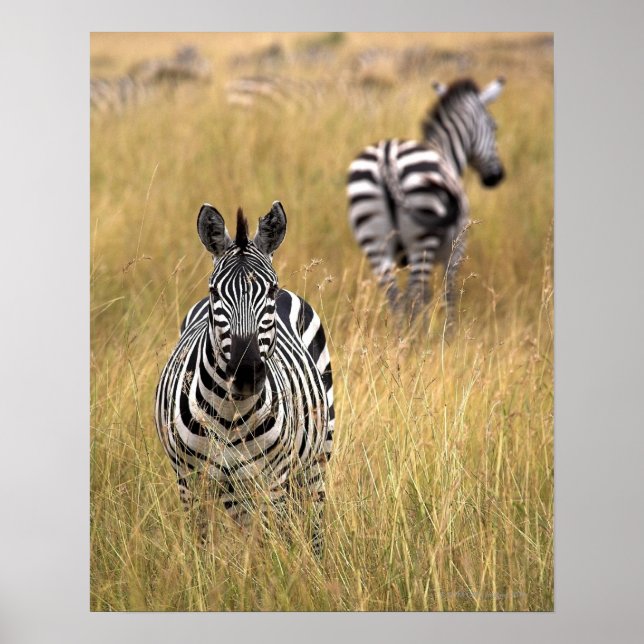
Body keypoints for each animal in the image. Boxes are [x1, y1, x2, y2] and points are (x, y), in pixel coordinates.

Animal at [155, 201, 334, 555]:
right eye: (214, 292)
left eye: (270, 290)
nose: (247, 373)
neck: (230, 413)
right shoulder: (189, 482)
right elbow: (202, 548)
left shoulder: (272, 480)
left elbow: (270, 547)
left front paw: (275, 570)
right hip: (232, 487)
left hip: (317, 456)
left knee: (314, 519)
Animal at [346, 77, 505, 333]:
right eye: (493, 127)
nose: (496, 177)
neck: (447, 154)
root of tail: (387, 157)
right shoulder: (456, 249)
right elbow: (448, 293)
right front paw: (449, 336)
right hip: (422, 240)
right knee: (413, 296)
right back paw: (413, 338)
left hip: (374, 239)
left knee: (395, 298)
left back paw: (400, 338)